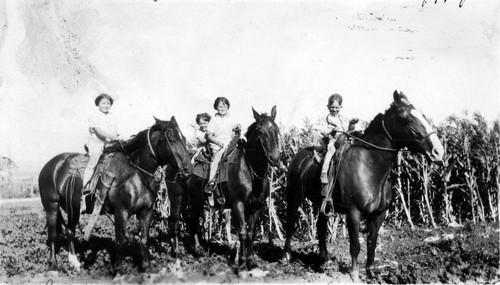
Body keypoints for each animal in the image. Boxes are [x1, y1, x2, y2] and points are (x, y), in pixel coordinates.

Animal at [38, 116, 191, 272]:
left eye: (184, 138)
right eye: (172, 139)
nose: (187, 170)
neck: (136, 175)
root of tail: (50, 165)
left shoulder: (146, 212)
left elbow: (143, 240)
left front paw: (146, 267)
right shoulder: (121, 212)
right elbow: (120, 242)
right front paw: (118, 269)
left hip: (73, 208)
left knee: (69, 230)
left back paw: (75, 262)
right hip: (51, 206)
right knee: (53, 234)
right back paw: (53, 264)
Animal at [284, 90, 444, 280]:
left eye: (423, 116)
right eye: (408, 119)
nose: (438, 152)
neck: (369, 165)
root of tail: (298, 156)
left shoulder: (379, 214)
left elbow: (371, 242)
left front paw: (370, 271)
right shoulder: (353, 213)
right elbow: (355, 245)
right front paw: (354, 274)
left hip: (322, 204)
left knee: (321, 226)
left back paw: (324, 259)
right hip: (294, 198)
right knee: (290, 223)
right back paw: (286, 256)